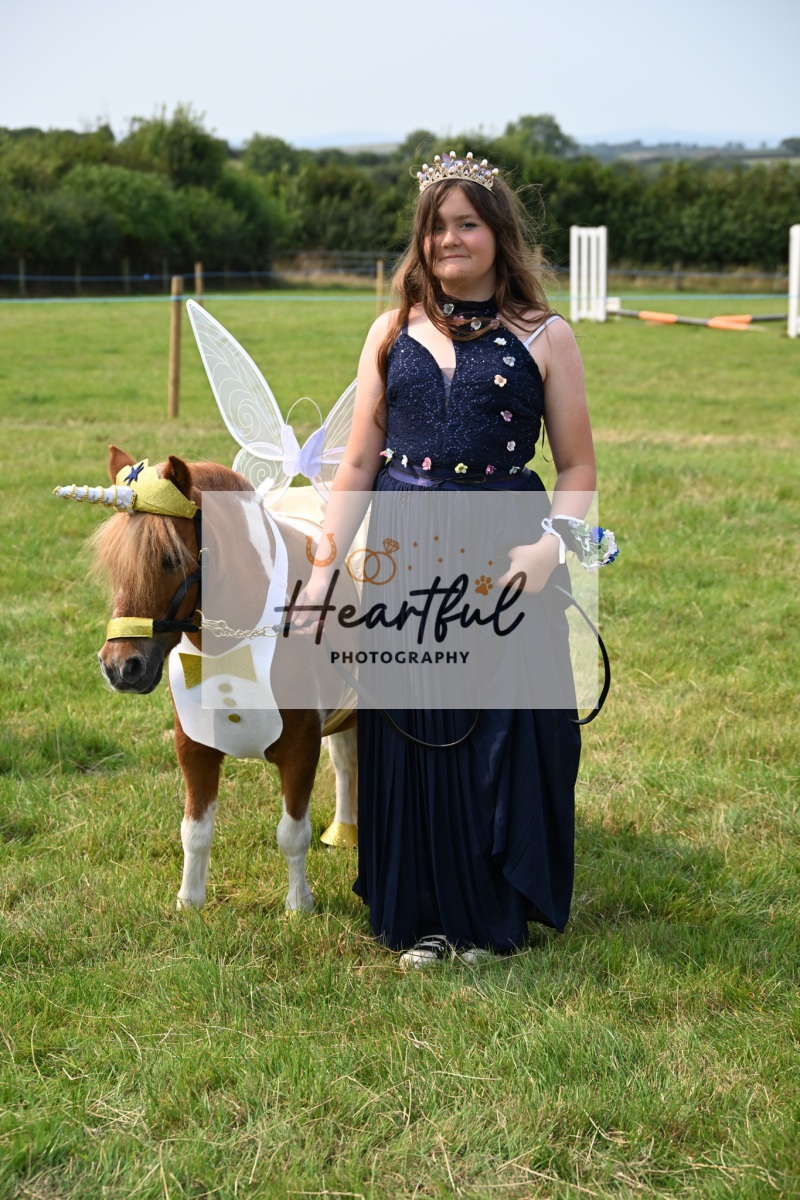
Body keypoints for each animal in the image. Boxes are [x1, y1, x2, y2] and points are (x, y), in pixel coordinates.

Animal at [75, 445, 358, 914]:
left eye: (171, 560)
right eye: (115, 565)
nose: (120, 667)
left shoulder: (301, 746)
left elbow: (291, 834)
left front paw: (299, 906)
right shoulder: (194, 747)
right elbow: (195, 831)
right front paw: (189, 902)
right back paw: (344, 832)